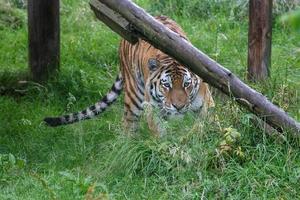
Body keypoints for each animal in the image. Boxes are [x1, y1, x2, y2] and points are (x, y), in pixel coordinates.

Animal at [43, 15, 214, 134]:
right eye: (166, 85)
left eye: (187, 84)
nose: (178, 107)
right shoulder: (152, 110)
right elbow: (161, 135)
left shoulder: (205, 102)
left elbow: (202, 124)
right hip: (134, 95)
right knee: (128, 124)